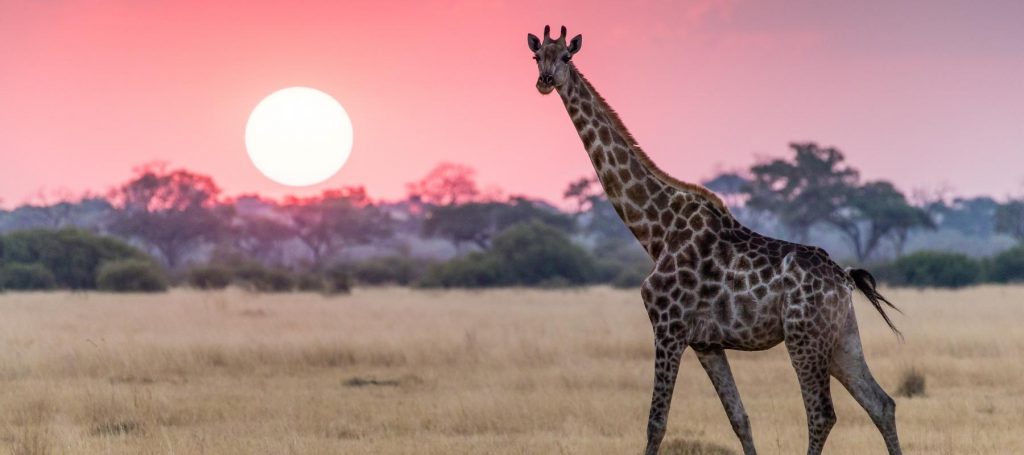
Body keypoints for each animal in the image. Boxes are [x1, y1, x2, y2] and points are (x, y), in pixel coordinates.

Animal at [528, 25, 905, 455]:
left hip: (803, 336)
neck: (656, 231)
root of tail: (843, 278)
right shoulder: (707, 343)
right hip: (841, 337)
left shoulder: (668, 327)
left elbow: (656, 423)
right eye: (537, 56)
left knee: (823, 414)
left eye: (566, 57)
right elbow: (740, 419)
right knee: (881, 403)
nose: (545, 81)